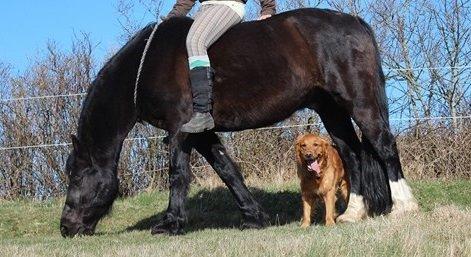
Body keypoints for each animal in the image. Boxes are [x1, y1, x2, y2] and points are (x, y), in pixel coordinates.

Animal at [60, 8, 418, 236]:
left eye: (76, 176)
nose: (66, 227)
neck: (147, 64)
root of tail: (355, 23)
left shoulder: (179, 129)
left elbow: (178, 175)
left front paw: (171, 224)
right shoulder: (201, 132)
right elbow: (228, 170)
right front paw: (254, 217)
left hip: (359, 101)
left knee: (384, 144)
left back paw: (404, 206)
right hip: (330, 109)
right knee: (352, 153)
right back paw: (353, 212)